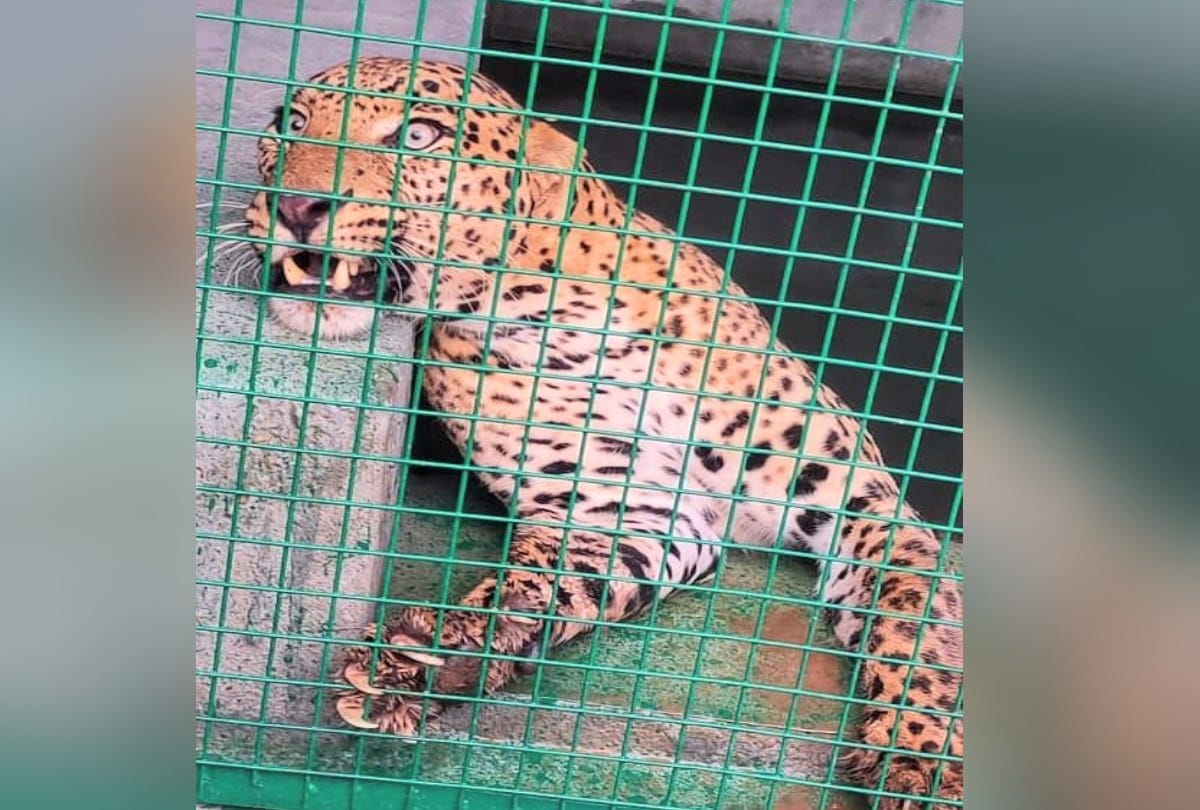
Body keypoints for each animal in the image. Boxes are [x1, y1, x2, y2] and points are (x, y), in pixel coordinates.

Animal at [240, 56, 963, 808]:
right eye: (290, 125)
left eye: (418, 135)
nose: (294, 207)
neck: (550, 318)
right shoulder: (623, 507)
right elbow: (544, 582)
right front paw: (433, 656)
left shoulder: (866, 505)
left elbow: (913, 630)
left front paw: (920, 759)